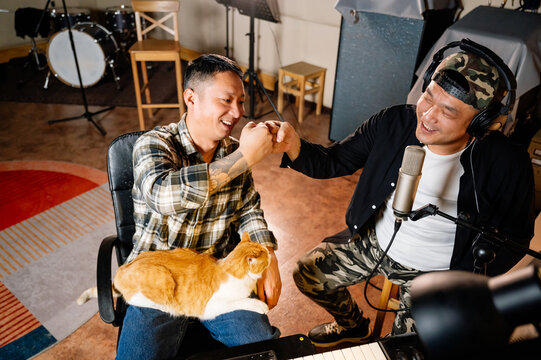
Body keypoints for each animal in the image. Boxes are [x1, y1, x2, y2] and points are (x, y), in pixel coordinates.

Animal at [77, 233, 270, 320]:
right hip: (162, 279)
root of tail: (122, 269)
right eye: (267, 256)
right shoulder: (212, 307)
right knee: (133, 299)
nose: (270, 252)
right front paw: (260, 305)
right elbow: (242, 302)